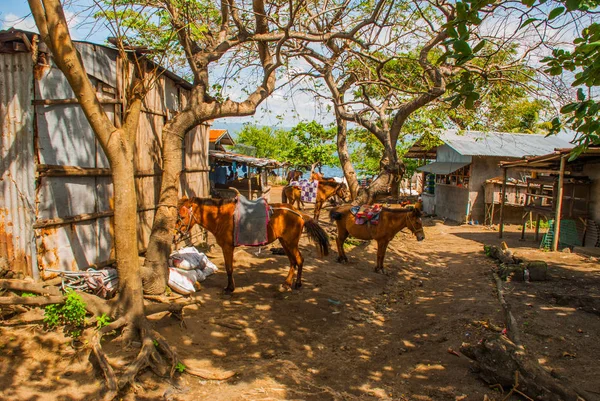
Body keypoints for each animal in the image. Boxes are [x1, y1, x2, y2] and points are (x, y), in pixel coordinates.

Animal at [173, 198, 332, 294]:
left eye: (182, 217)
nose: (175, 236)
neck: (220, 217)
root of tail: (299, 213)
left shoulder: (227, 247)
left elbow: (229, 268)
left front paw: (230, 288)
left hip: (291, 242)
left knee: (299, 260)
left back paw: (297, 284)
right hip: (284, 242)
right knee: (293, 261)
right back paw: (287, 283)